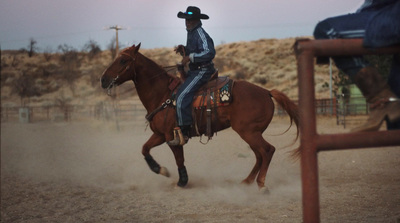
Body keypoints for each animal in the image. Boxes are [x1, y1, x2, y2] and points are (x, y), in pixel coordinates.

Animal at [100, 43, 300, 190]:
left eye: (123, 60)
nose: (103, 79)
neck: (163, 94)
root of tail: (267, 92)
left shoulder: (172, 135)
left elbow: (179, 158)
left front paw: (182, 181)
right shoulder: (159, 134)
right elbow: (144, 149)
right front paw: (160, 169)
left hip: (249, 132)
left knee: (267, 151)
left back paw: (260, 184)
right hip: (251, 132)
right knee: (259, 155)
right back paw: (247, 181)